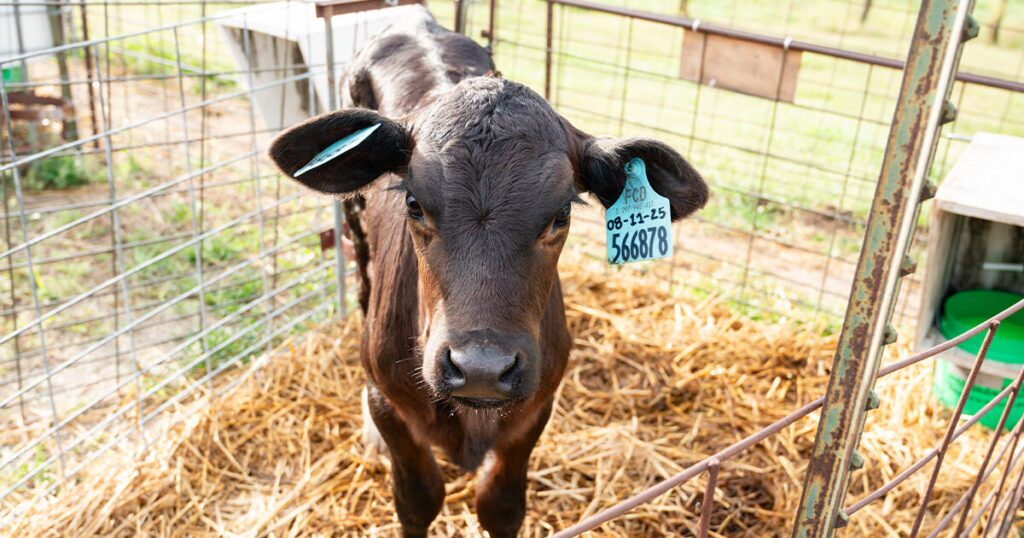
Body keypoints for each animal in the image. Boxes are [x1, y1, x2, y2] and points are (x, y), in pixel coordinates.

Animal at [268, 7, 707, 537]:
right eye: (413, 203)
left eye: (561, 213)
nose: (481, 368)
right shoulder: (388, 403)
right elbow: (417, 499)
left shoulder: (535, 409)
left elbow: (499, 504)